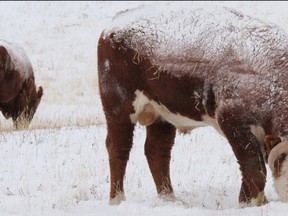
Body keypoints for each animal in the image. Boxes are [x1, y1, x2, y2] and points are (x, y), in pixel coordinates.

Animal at [97, 3, 288, 208]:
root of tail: (112, 27)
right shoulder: (234, 125)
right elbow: (254, 169)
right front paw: (252, 204)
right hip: (119, 110)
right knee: (119, 148)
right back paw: (117, 200)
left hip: (162, 116)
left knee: (157, 151)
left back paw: (169, 199)